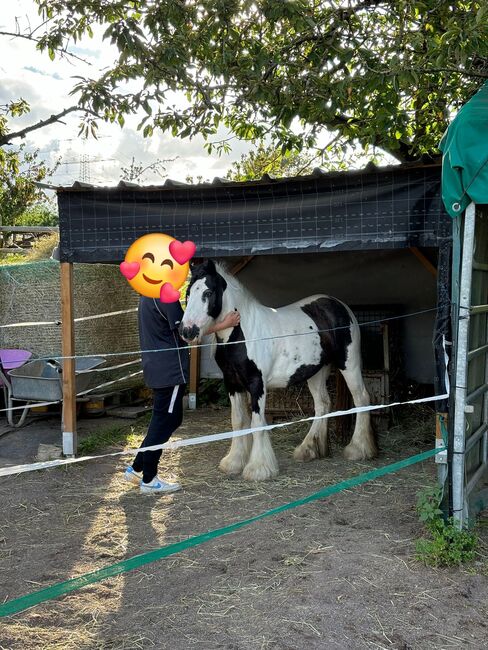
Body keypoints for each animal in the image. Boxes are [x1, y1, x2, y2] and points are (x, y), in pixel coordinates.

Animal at [179, 260, 378, 480]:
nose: (187, 331)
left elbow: (257, 424)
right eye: (188, 292)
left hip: (349, 364)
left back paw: (358, 449)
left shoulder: (257, 384)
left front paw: (258, 468)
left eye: (208, 292)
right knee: (323, 404)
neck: (243, 334)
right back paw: (309, 449)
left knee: (361, 399)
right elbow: (238, 422)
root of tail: (340, 306)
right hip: (317, 371)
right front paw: (233, 463)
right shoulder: (232, 383)